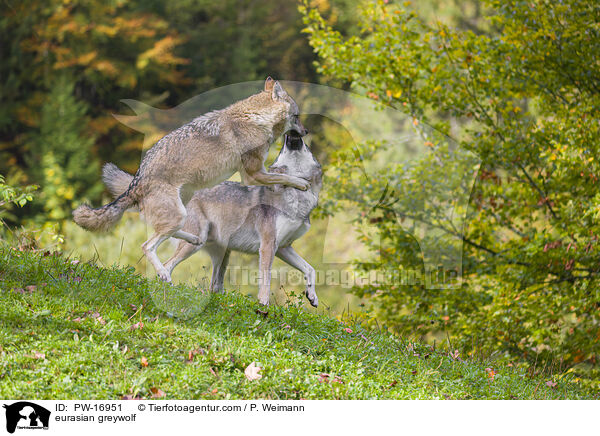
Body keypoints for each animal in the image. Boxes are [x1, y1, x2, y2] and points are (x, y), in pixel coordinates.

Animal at [74, 77, 310, 282]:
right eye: (297, 116)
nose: (306, 131)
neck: (256, 118)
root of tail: (136, 181)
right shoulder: (253, 175)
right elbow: (286, 176)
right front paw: (303, 184)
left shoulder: (255, 173)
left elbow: (283, 176)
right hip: (177, 214)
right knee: (147, 246)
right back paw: (164, 274)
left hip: (183, 207)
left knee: (172, 235)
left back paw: (193, 241)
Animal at [105, 134, 322, 306]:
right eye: (285, 144)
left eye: (304, 144)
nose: (291, 134)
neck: (297, 195)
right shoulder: (268, 246)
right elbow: (266, 281)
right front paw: (263, 306)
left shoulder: (283, 248)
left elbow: (310, 269)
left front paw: (312, 296)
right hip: (194, 245)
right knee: (165, 262)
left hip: (222, 254)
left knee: (213, 286)